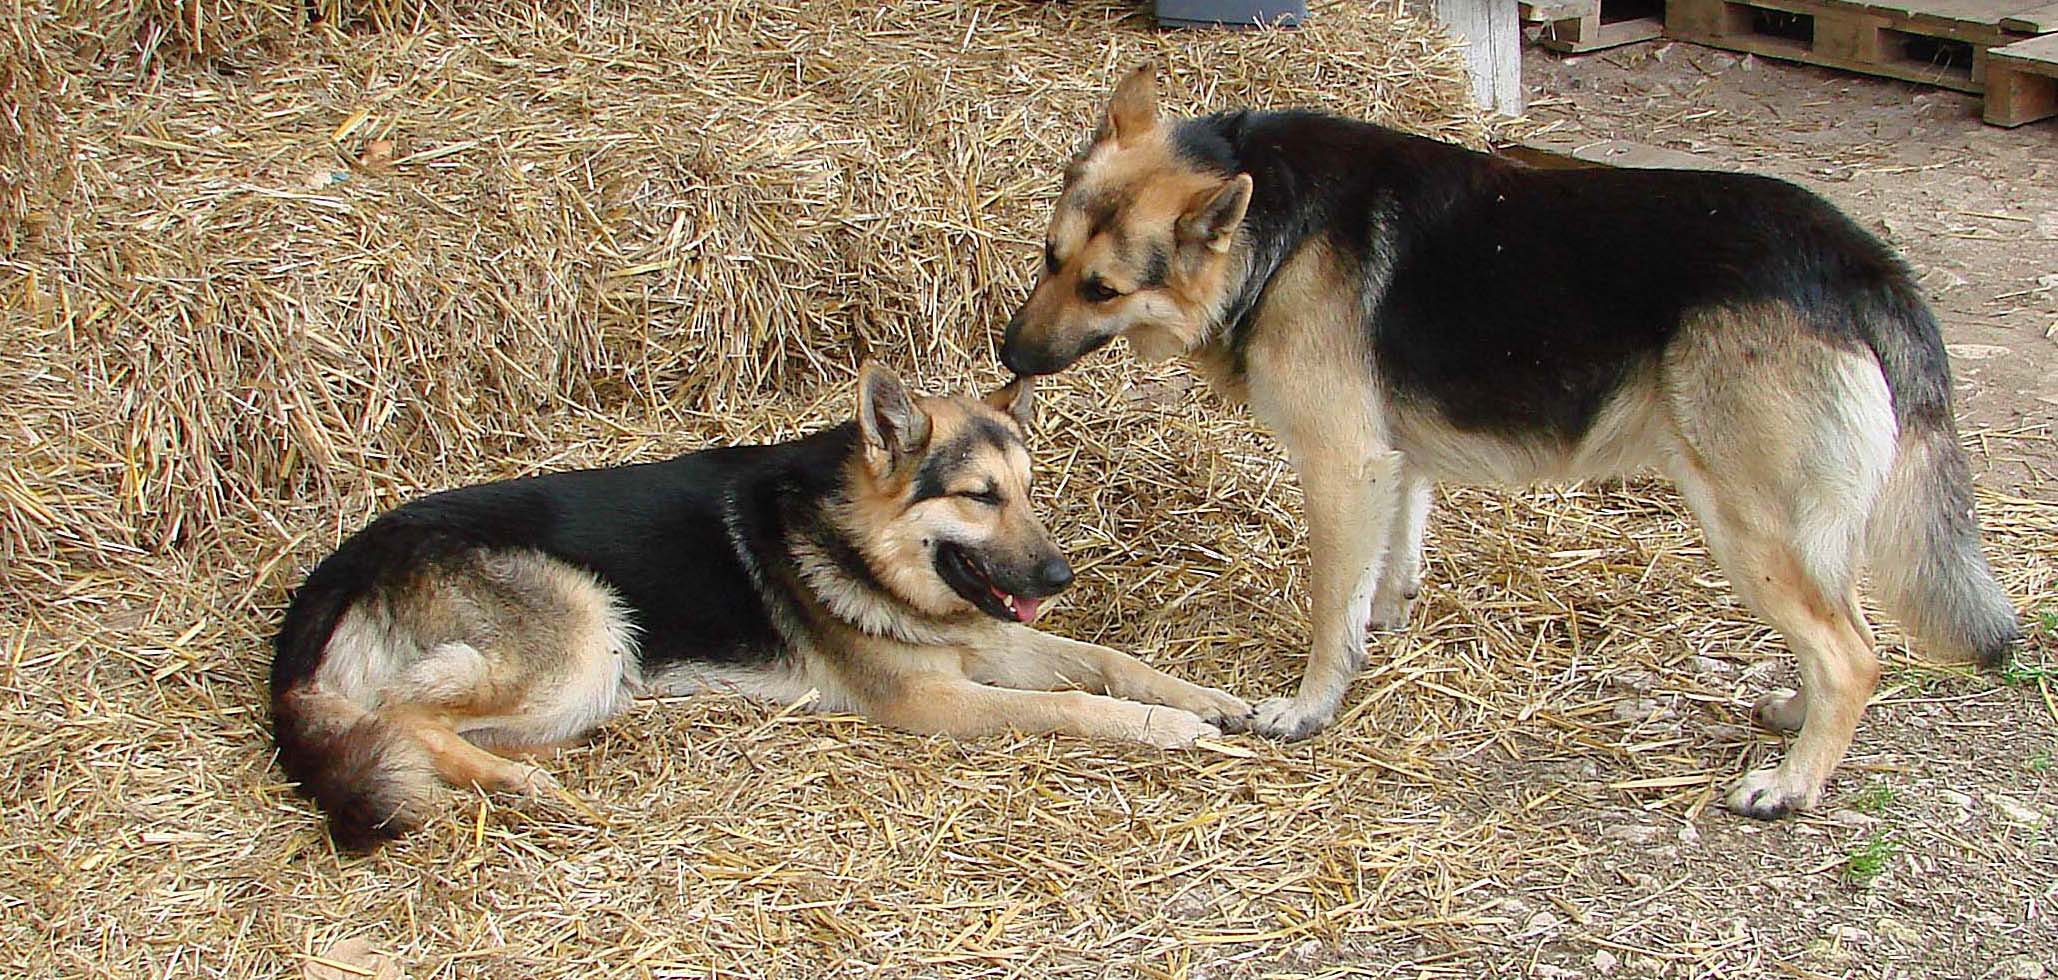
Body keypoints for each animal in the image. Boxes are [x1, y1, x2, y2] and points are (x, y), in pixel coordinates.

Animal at [265, 364, 1243, 844]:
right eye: (980, 497)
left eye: (1031, 493)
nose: (1060, 578)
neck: (856, 535)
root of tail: (339, 568)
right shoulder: (938, 699)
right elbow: (1072, 703)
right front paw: (1167, 730)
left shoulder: (985, 642)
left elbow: (1110, 662)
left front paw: (1210, 700)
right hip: (590, 638)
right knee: (397, 716)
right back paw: (524, 787)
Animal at [1004, 68, 2016, 819]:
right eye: (1050, 258)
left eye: (1101, 289)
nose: (1006, 356)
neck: (1275, 229)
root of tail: (1863, 262)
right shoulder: (1394, 463)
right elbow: (1387, 573)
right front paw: (1381, 635)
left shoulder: (1342, 465)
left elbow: (1331, 606)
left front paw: (1312, 705)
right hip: (1796, 526)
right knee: (1843, 636)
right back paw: (1797, 717)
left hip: (1747, 524)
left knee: (1852, 652)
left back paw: (1794, 783)